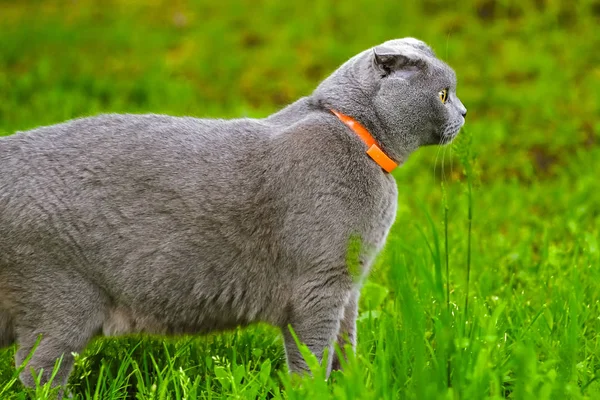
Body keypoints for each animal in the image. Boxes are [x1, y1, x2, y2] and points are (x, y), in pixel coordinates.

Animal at [0, 37, 464, 394]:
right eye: (443, 95)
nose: (463, 113)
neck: (357, 138)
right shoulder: (320, 285)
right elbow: (313, 353)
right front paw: (313, 391)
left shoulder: (349, 284)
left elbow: (345, 346)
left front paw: (351, 386)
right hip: (63, 297)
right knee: (37, 372)